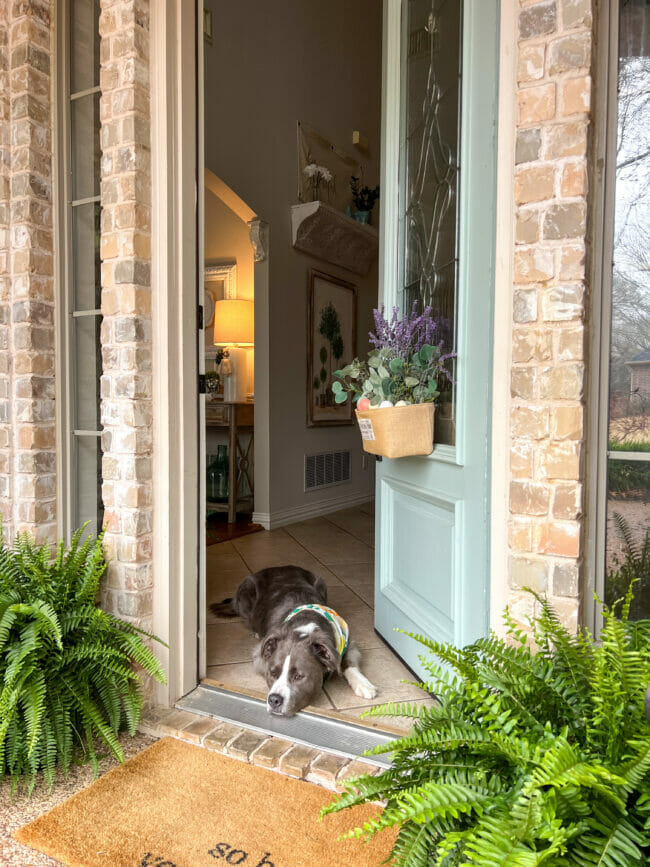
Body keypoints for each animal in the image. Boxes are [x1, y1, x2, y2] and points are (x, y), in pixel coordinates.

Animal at [210, 568, 378, 716]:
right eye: (272, 673)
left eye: (298, 676)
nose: (274, 700)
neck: (304, 629)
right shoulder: (260, 656)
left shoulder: (348, 642)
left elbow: (348, 663)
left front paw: (363, 684)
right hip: (246, 594)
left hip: (321, 583)